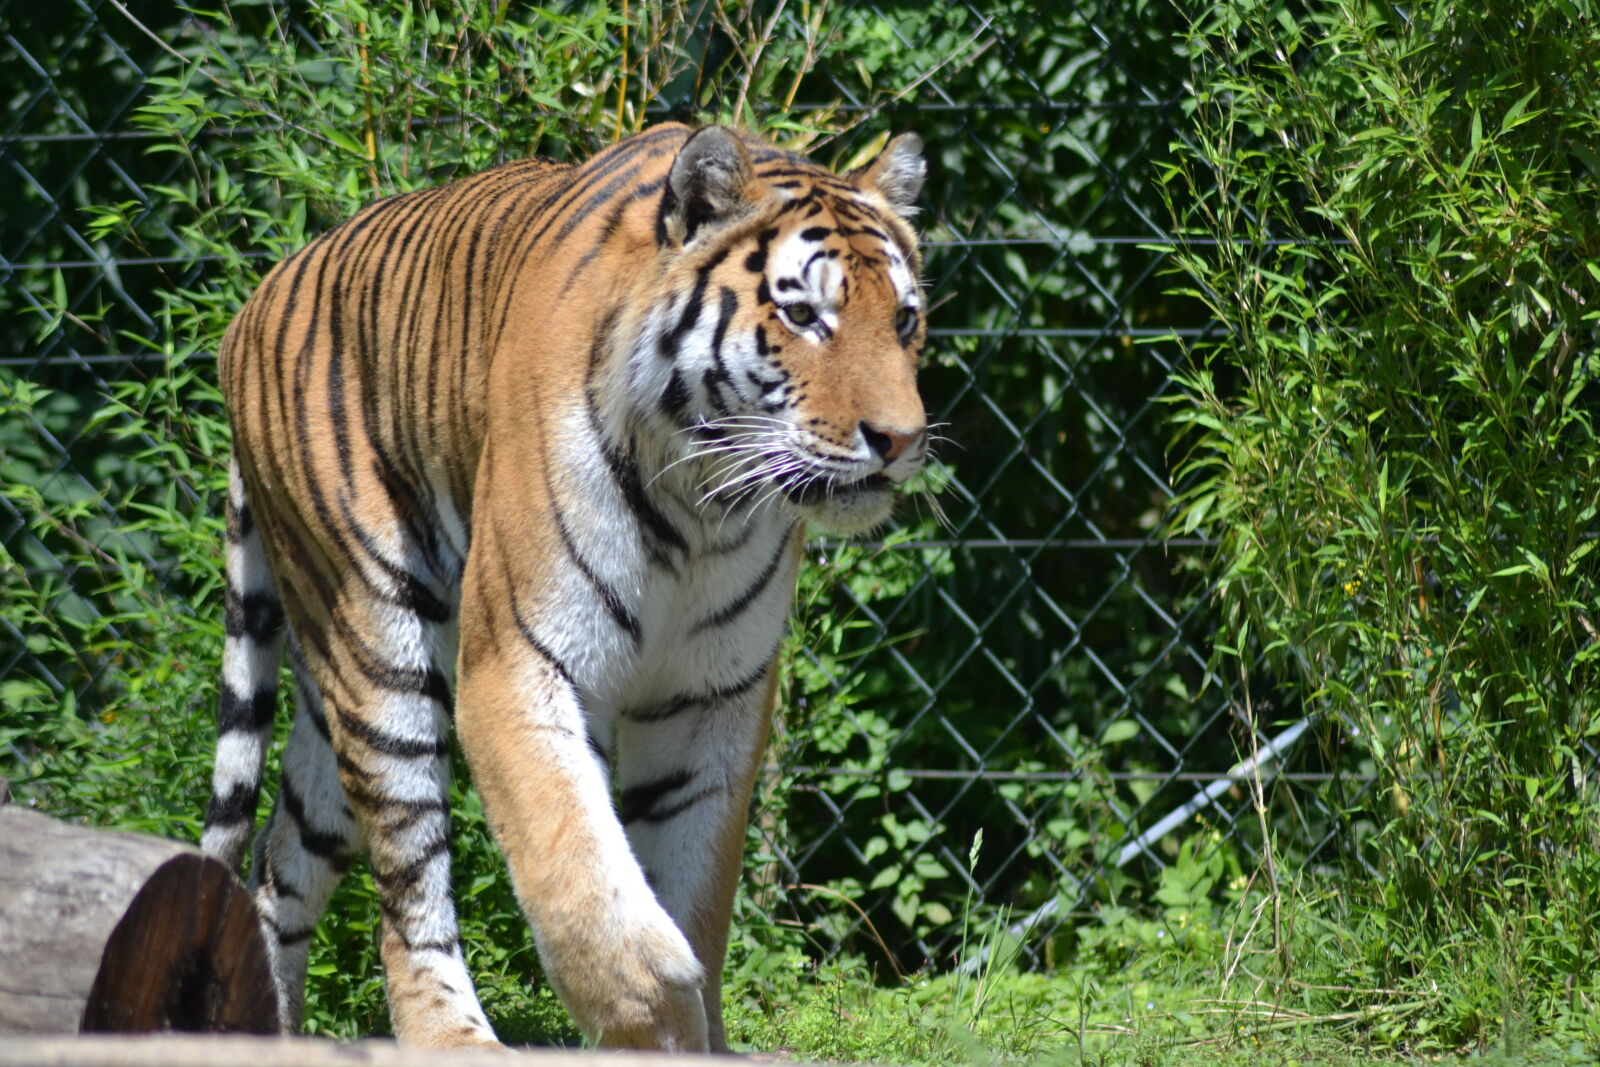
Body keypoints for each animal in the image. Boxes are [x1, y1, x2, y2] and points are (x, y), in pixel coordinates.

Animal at [199, 122, 929, 1051]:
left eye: (903, 318)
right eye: (804, 314)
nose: (900, 438)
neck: (701, 505)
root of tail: (254, 300)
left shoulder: (712, 694)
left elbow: (694, 884)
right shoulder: (516, 663)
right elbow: (583, 877)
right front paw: (658, 1007)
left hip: (330, 699)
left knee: (280, 858)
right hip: (379, 643)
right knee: (406, 887)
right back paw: (452, 1036)